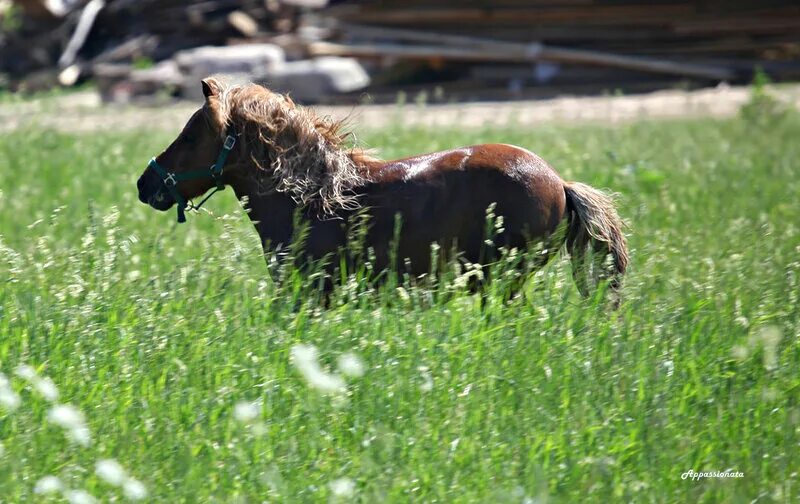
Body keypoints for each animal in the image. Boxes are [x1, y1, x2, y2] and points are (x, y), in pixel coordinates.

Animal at [138, 77, 628, 302]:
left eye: (190, 135)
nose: (145, 184)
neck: (310, 197)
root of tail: (560, 183)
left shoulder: (307, 296)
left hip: (501, 281)